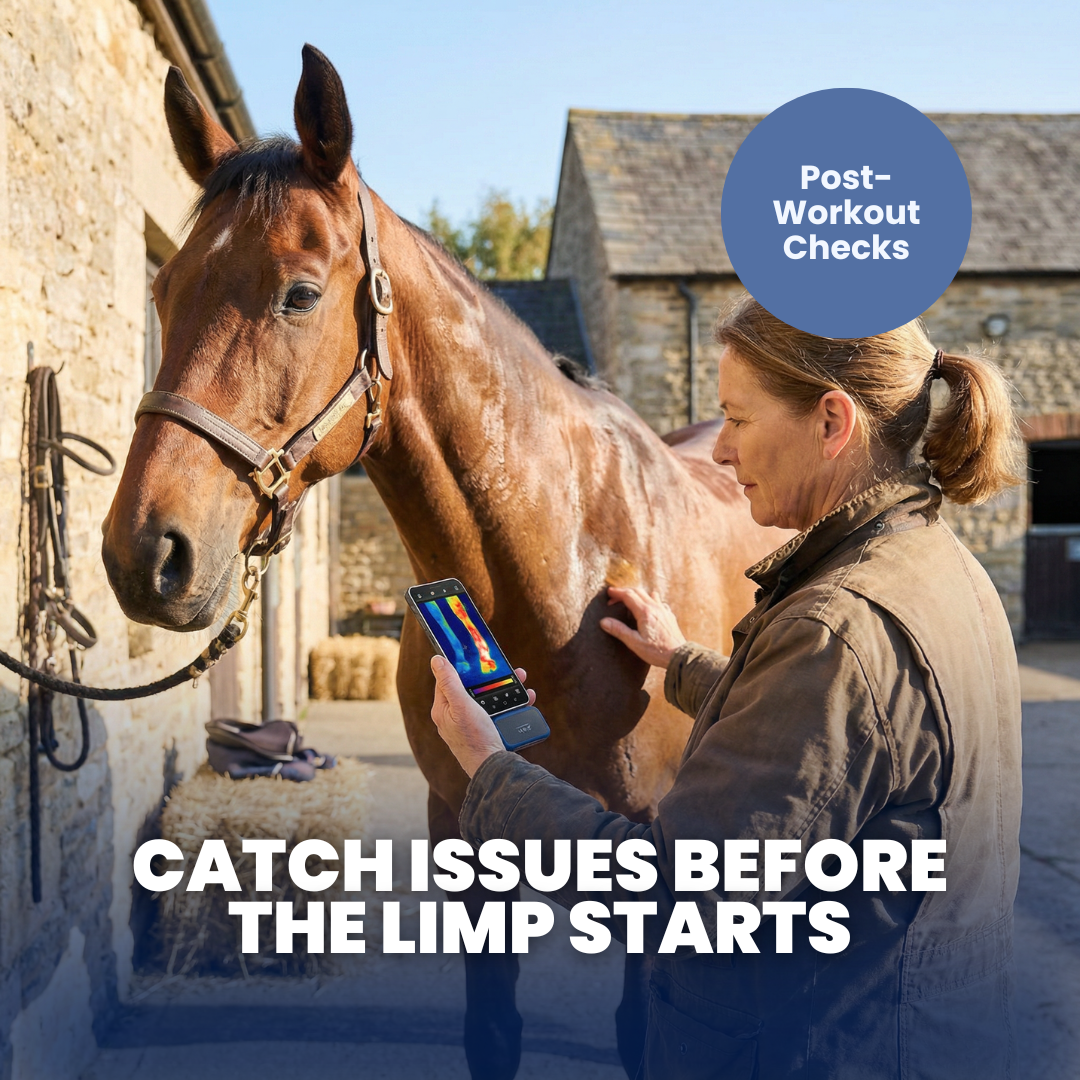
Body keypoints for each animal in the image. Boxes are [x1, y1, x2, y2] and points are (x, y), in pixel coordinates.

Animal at [100, 46, 779, 1080]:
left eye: (300, 293)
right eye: (164, 288)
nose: (146, 552)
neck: (565, 574)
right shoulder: (470, 839)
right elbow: (492, 1031)